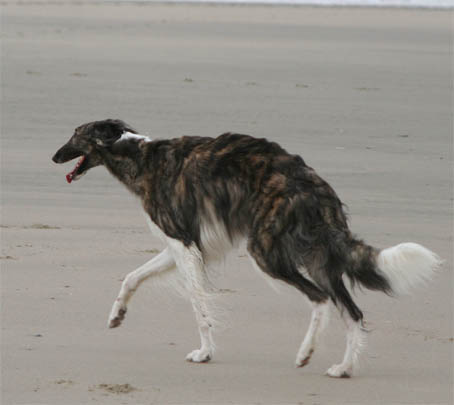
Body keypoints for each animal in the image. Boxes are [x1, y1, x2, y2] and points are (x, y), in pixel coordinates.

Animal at [52, 119, 441, 377]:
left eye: (75, 134)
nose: (54, 157)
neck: (139, 154)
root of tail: (312, 182)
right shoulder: (183, 245)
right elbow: (132, 277)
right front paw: (116, 316)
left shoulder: (184, 244)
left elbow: (199, 306)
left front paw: (204, 353)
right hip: (317, 259)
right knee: (352, 312)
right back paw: (342, 367)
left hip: (267, 252)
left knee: (320, 299)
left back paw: (305, 353)